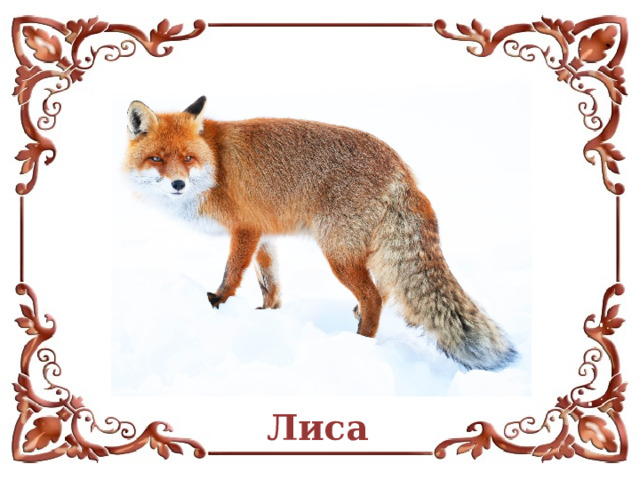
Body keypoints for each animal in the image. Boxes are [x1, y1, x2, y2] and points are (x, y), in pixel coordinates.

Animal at [123, 96, 517, 371]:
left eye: (188, 158)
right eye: (157, 159)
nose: (177, 184)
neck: (215, 167)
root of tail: (402, 169)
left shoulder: (245, 228)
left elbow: (231, 273)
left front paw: (217, 303)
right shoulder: (264, 234)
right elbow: (270, 284)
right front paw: (267, 315)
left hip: (337, 253)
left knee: (375, 297)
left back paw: (359, 345)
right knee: (386, 289)